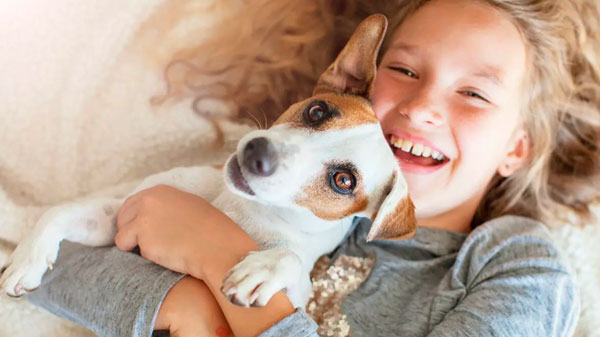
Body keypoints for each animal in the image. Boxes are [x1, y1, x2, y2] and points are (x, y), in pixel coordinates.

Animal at [0, 15, 414, 308]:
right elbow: (56, 212)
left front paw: (265, 269)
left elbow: (292, 263)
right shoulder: (118, 214)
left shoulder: (299, 293)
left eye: (343, 181)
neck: (240, 205)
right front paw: (25, 261)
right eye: (317, 111)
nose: (258, 153)